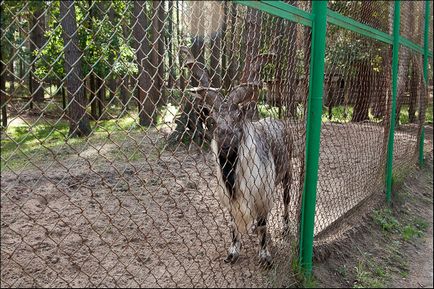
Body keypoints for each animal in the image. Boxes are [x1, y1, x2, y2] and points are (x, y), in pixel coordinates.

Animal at [178, 46, 294, 266]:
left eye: (238, 117)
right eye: (213, 120)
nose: (225, 146)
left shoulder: (263, 197)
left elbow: (263, 225)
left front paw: (265, 256)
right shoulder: (230, 201)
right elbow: (233, 225)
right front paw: (232, 253)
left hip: (287, 174)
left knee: (286, 201)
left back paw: (285, 229)